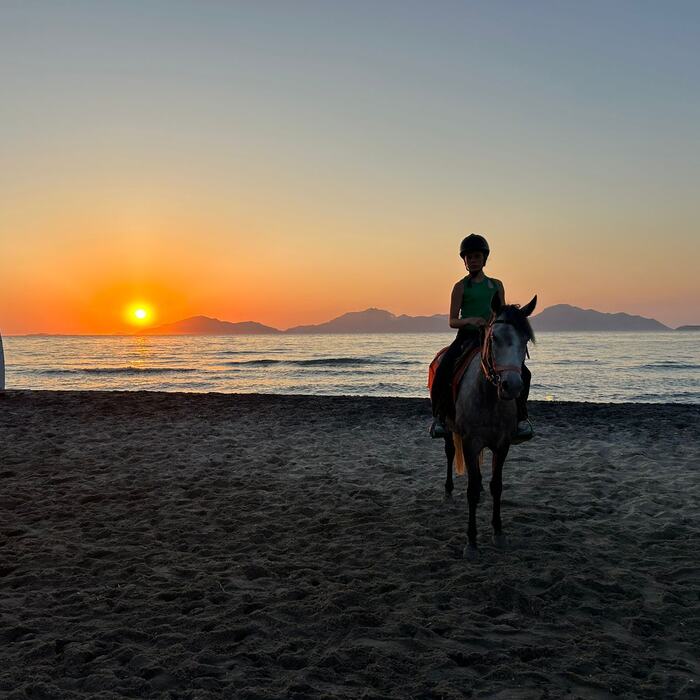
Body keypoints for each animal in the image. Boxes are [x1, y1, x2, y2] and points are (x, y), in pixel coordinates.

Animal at [443, 293, 537, 561]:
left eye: (525, 340)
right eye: (494, 338)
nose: (512, 386)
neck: (489, 397)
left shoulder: (502, 444)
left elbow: (497, 486)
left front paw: (498, 532)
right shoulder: (470, 442)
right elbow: (472, 490)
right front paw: (472, 542)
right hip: (449, 430)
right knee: (449, 453)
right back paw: (448, 490)